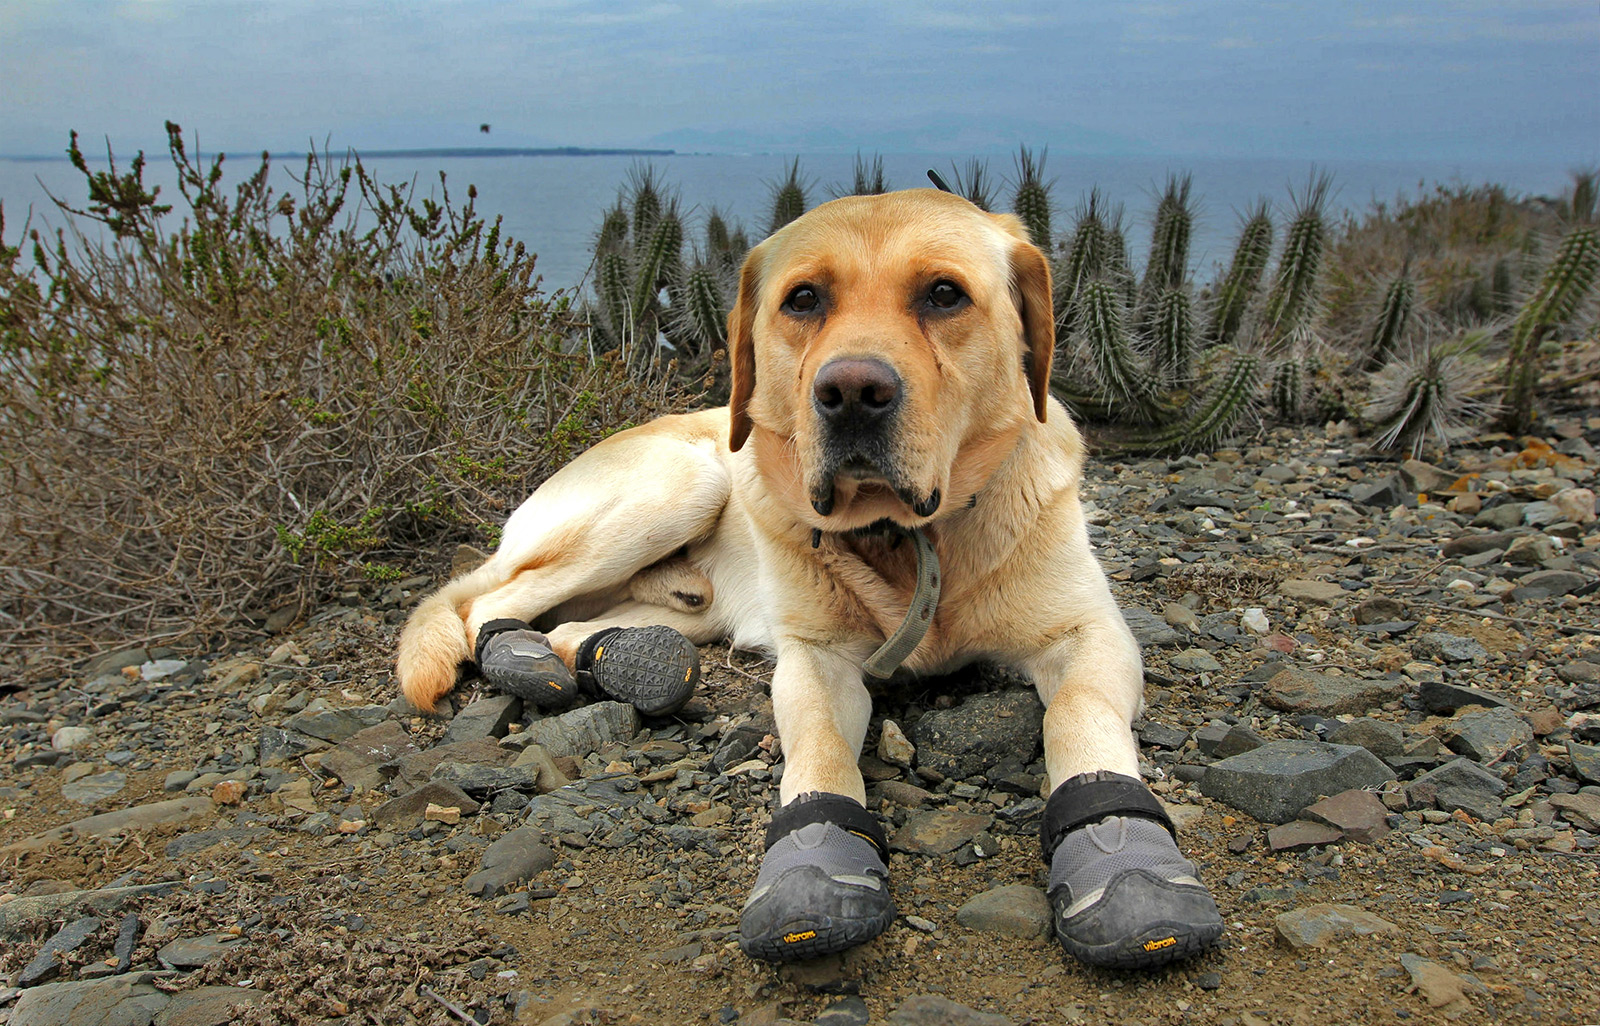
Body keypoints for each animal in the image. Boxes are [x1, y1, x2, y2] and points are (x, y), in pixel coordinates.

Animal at [393, 185, 1216, 966]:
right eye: (804, 300)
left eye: (944, 294)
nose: (851, 391)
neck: (907, 539)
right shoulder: (816, 660)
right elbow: (819, 748)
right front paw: (812, 859)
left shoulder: (1090, 633)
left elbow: (1077, 717)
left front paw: (1124, 858)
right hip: (682, 482)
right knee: (485, 605)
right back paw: (520, 656)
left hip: (681, 584)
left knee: (573, 622)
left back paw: (604, 653)